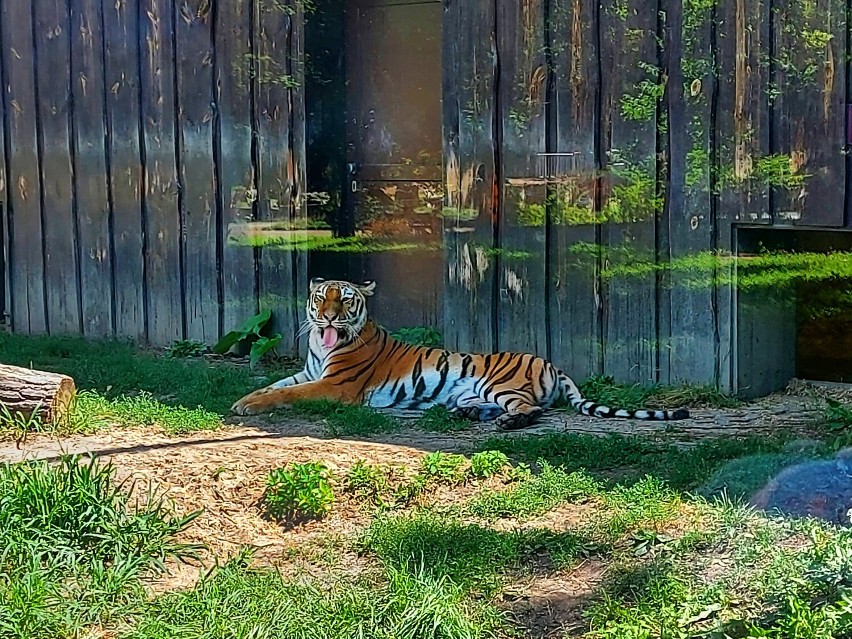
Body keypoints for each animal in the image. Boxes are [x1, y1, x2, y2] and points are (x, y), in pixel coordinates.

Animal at [230, 276, 688, 430]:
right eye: (320, 297)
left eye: (344, 300)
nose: (326, 318)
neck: (321, 348)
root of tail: (552, 363)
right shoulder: (309, 373)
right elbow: (274, 385)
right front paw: (242, 400)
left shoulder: (334, 387)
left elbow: (286, 394)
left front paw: (249, 407)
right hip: (476, 390)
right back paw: (463, 414)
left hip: (499, 383)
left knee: (531, 411)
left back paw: (505, 423)